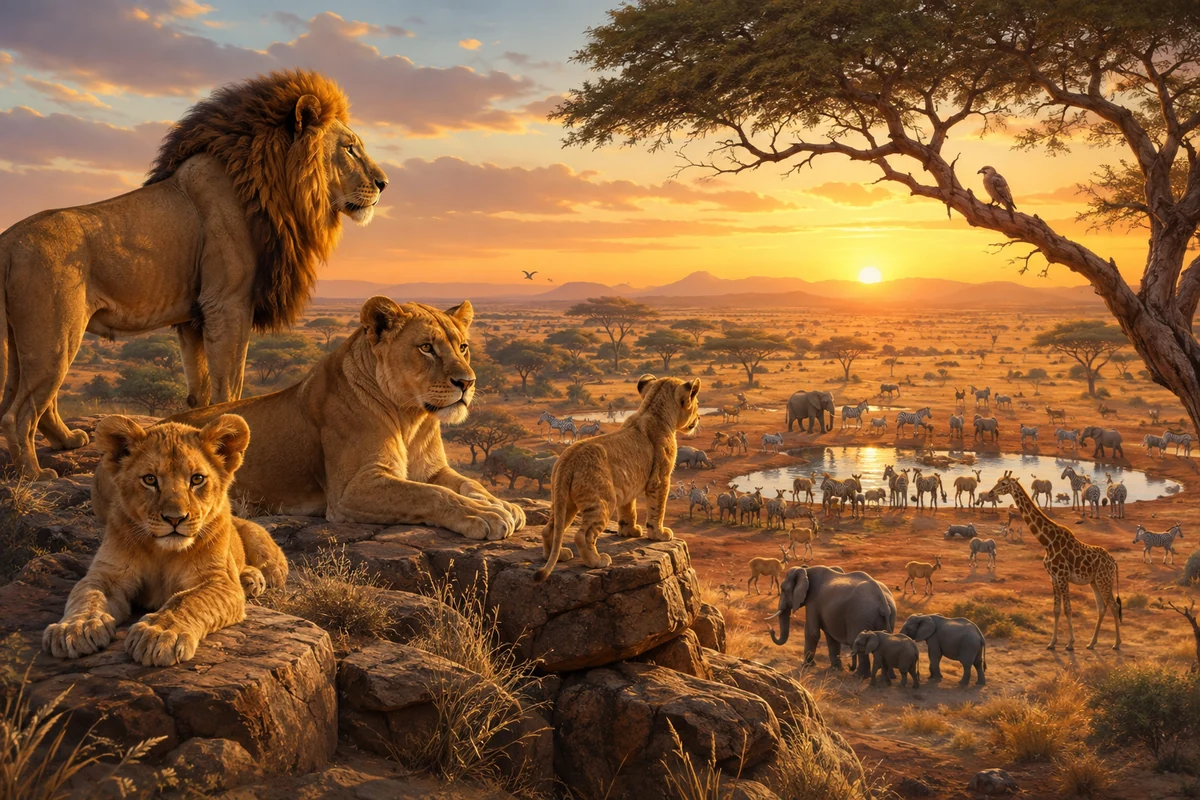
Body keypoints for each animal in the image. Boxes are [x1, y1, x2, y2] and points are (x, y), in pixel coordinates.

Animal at [0, 69, 387, 480]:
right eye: (349, 148)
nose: (384, 183)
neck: (275, 186)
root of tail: (8, 238)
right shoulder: (227, 304)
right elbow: (229, 386)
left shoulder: (193, 316)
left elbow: (199, 390)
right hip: (56, 334)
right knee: (18, 413)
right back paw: (34, 473)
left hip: (29, 337)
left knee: (24, 400)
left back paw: (67, 441)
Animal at [44, 414, 288, 666]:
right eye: (150, 479)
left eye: (197, 479)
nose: (175, 518)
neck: (163, 552)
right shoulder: (106, 574)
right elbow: (87, 595)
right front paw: (75, 627)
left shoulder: (220, 582)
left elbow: (187, 600)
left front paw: (158, 634)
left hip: (263, 550)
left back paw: (253, 579)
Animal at [92, 296, 527, 541]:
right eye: (426, 348)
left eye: (463, 347)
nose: (467, 382)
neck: (412, 417)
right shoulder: (351, 490)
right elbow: (432, 495)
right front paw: (483, 516)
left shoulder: (432, 469)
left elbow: (466, 484)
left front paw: (501, 505)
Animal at [534, 375, 702, 582]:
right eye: (697, 403)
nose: (699, 418)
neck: (653, 410)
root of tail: (567, 460)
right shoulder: (660, 479)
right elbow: (658, 508)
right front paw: (659, 534)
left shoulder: (628, 483)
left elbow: (629, 509)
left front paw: (628, 531)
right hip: (603, 501)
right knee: (583, 535)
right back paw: (596, 561)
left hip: (564, 502)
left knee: (550, 528)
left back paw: (557, 555)